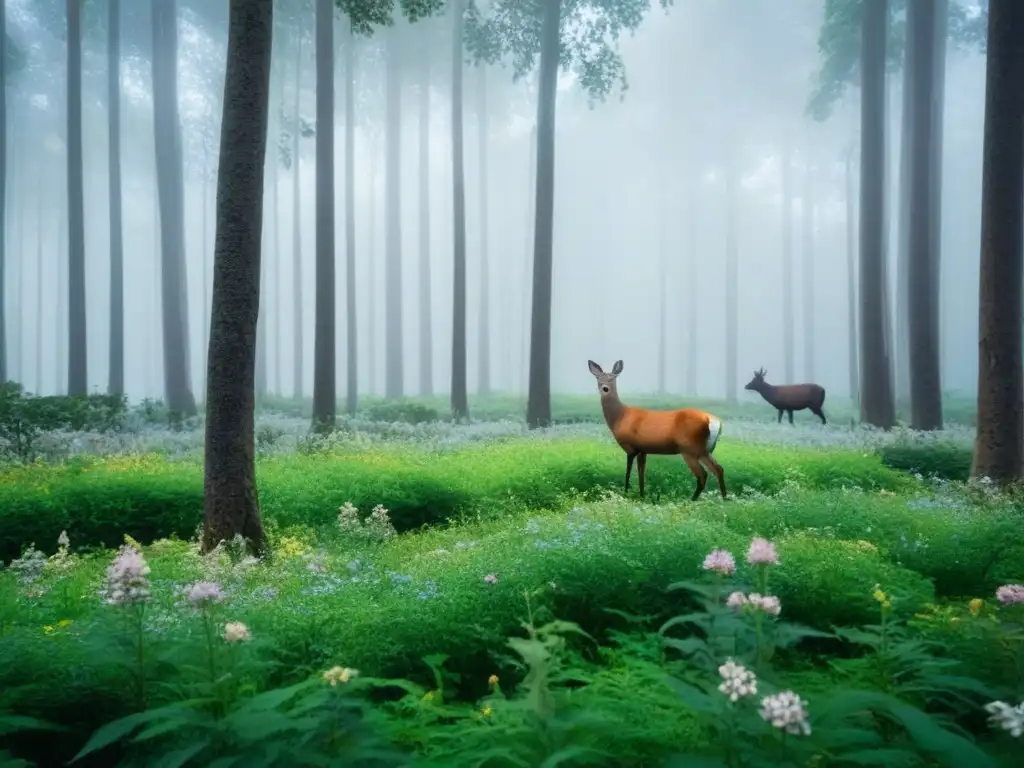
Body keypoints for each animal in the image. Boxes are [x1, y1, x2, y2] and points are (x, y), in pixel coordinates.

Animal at [589, 358, 724, 501]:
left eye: (612, 378)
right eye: (598, 378)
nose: (605, 388)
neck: (620, 417)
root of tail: (713, 421)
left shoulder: (630, 447)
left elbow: (628, 473)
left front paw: (625, 494)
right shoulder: (642, 449)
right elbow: (641, 475)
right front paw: (642, 496)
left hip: (689, 449)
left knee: (703, 475)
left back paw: (692, 500)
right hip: (702, 450)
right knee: (718, 469)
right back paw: (724, 499)